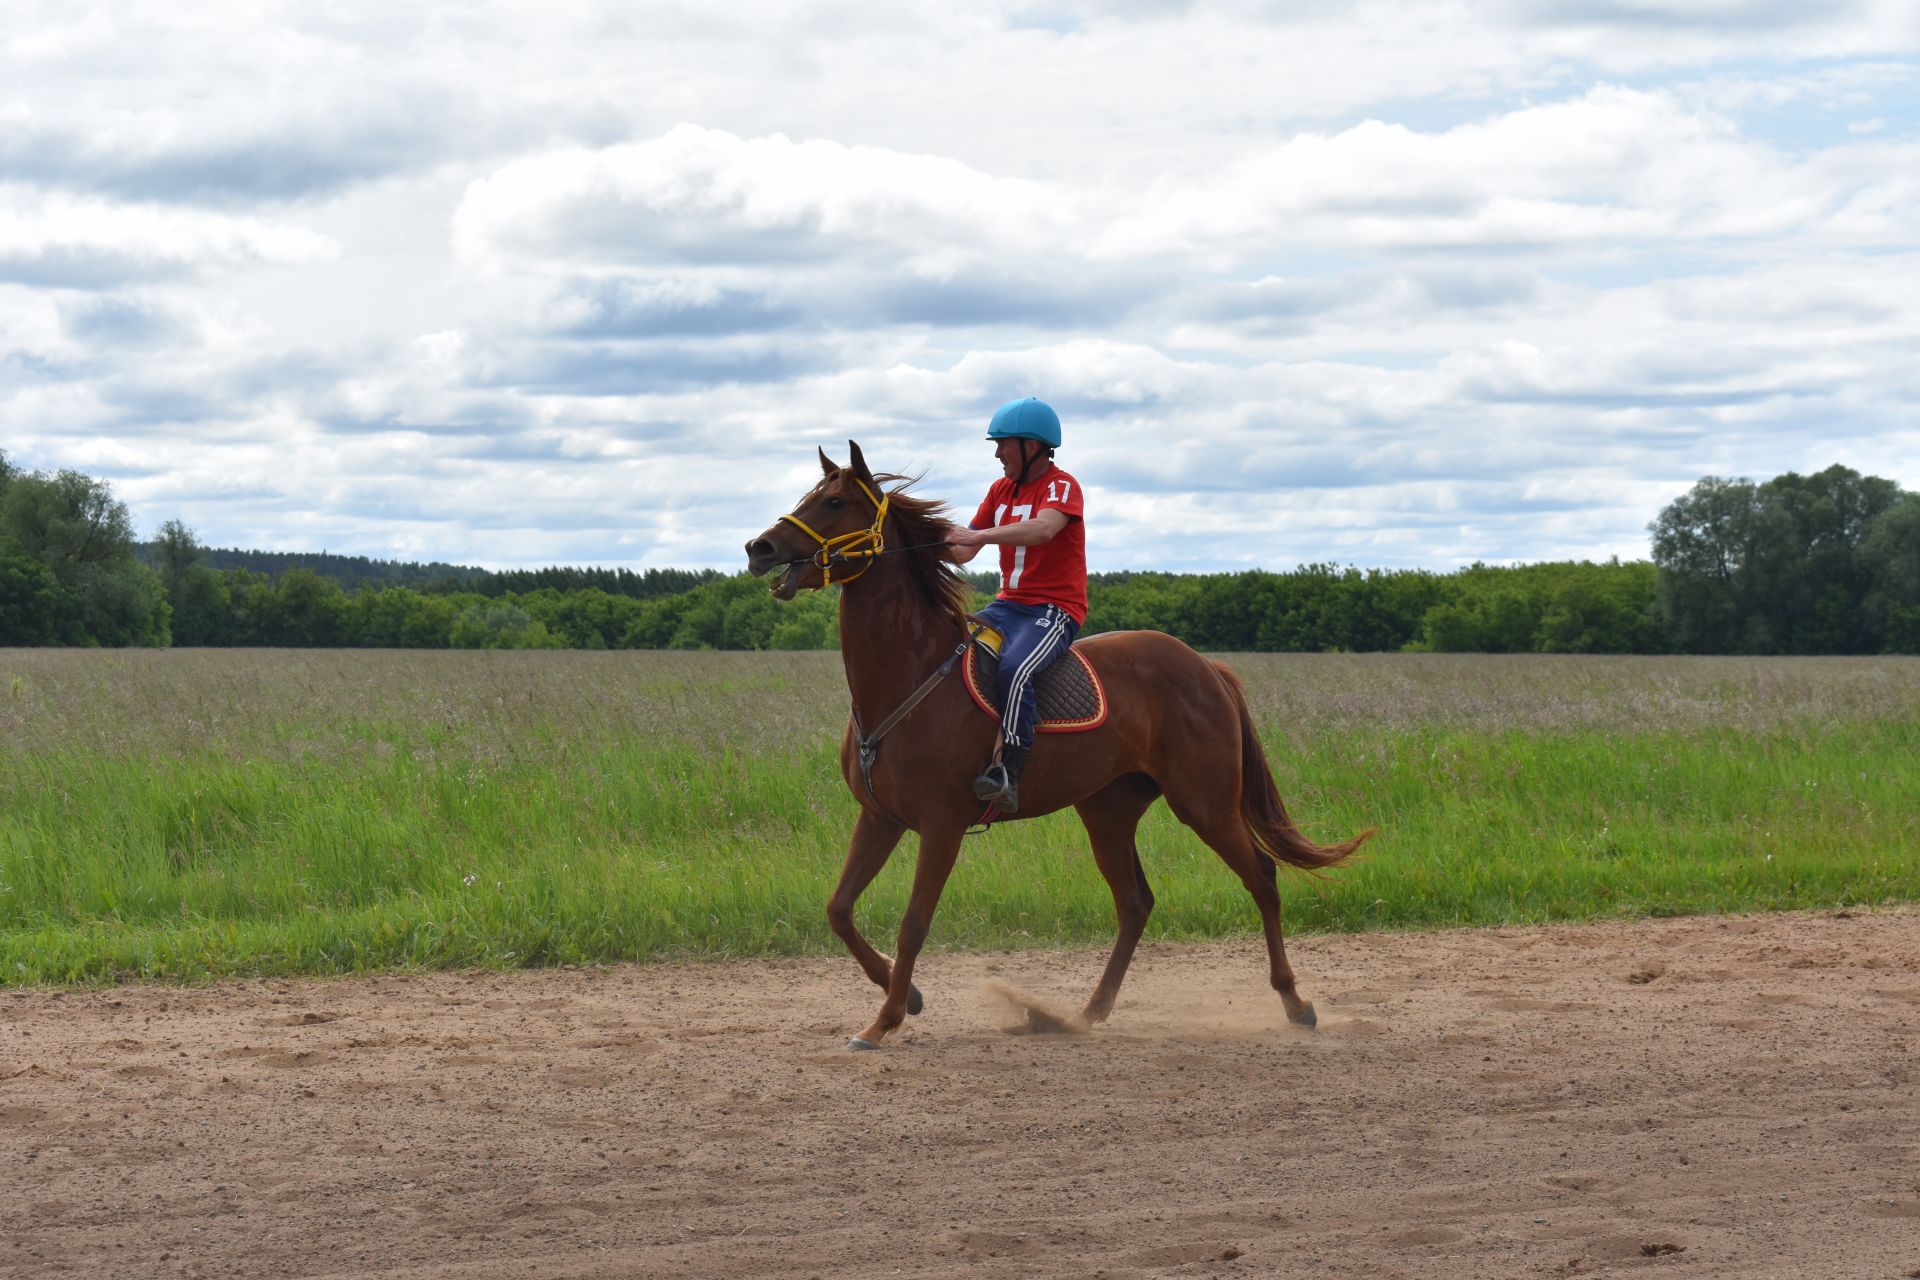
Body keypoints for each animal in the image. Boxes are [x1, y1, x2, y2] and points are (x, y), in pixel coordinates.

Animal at [741, 441, 1374, 1051]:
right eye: (809, 495)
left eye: (834, 502)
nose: (758, 546)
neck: (910, 674)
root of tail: (1205, 667)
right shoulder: (880, 818)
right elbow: (839, 909)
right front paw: (908, 997)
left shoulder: (942, 826)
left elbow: (913, 923)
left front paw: (884, 1022)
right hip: (1107, 811)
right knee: (1135, 903)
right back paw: (1084, 1013)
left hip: (1206, 805)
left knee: (1261, 878)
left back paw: (1295, 1003)